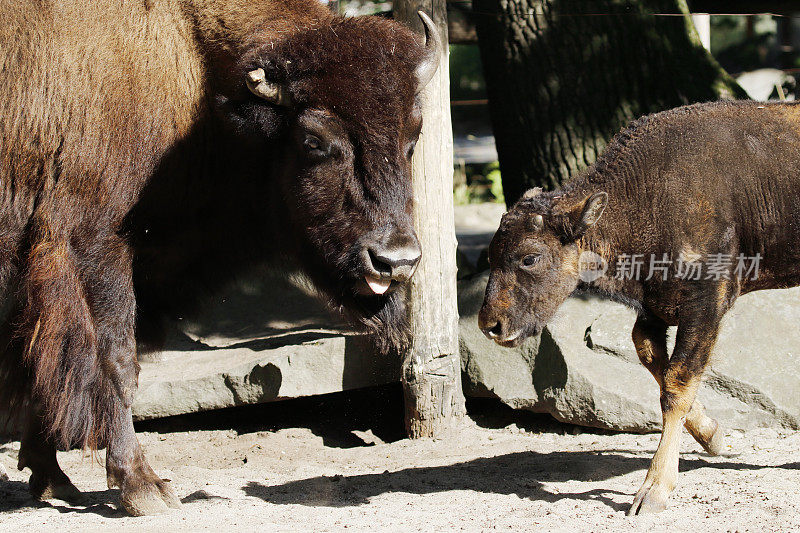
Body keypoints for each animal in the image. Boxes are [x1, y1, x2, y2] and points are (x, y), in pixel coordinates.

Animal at [0, 0, 438, 516]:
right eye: (313, 141)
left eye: (413, 136)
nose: (395, 259)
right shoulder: (95, 247)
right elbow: (115, 361)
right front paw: (143, 487)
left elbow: (35, 358)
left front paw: (50, 477)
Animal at [478, 98, 800, 512]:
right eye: (490, 255)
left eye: (529, 257)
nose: (490, 324)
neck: (645, 193)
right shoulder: (654, 311)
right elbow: (652, 360)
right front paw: (714, 436)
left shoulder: (705, 307)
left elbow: (677, 384)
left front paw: (653, 492)